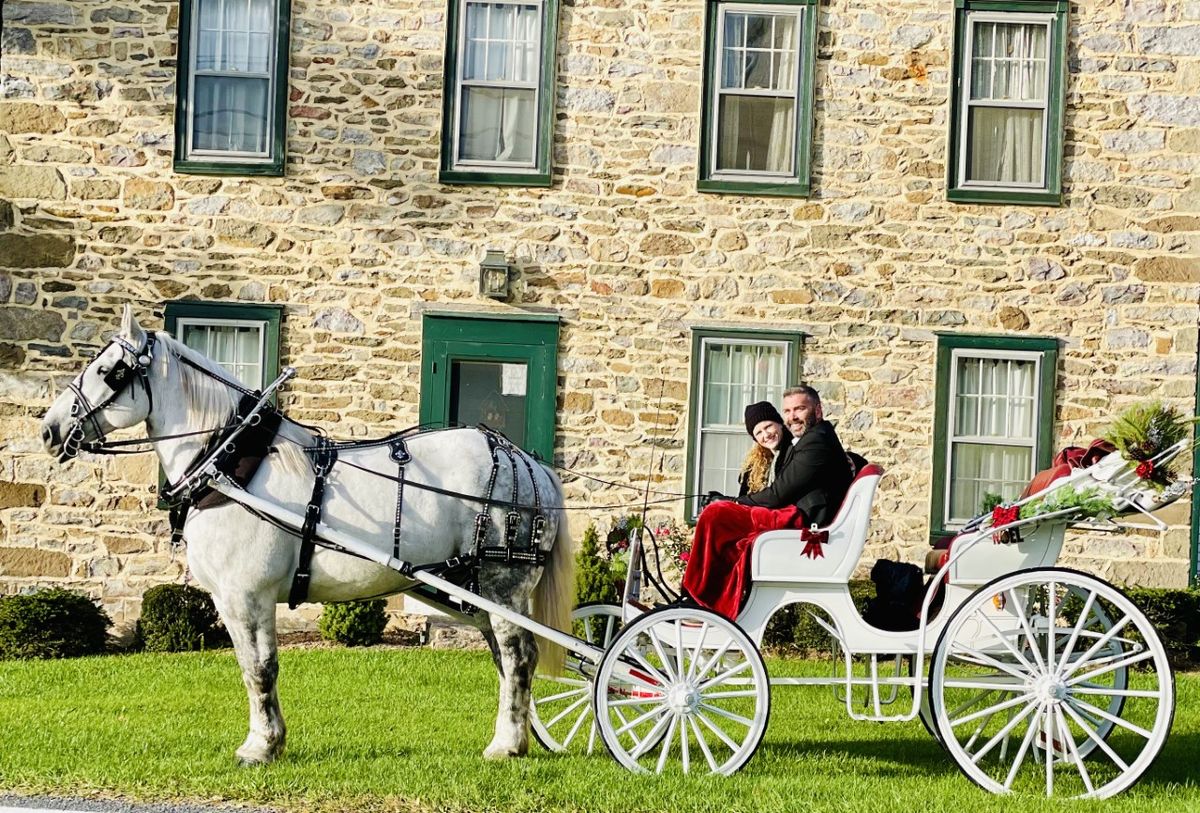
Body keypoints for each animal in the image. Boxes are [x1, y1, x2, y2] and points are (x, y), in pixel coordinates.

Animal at [39, 309, 573, 767]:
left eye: (110, 370)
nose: (48, 429)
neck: (229, 463)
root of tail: (528, 462)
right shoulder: (234, 599)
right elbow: (249, 667)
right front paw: (269, 741)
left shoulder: (246, 595)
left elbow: (259, 669)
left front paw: (261, 746)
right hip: (477, 591)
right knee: (504, 660)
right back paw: (515, 737)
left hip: (502, 584)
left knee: (518, 657)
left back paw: (506, 745)